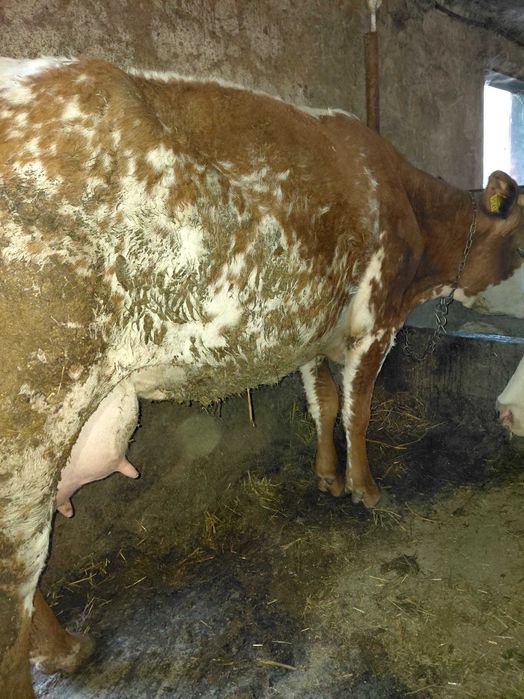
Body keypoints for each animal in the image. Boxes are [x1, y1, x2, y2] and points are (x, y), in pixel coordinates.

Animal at [0, 56, 522, 697]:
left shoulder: (312, 329)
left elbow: (323, 402)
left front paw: (327, 477)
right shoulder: (375, 320)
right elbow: (358, 409)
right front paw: (365, 488)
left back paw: (66, 649)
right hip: (31, 431)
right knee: (15, 590)